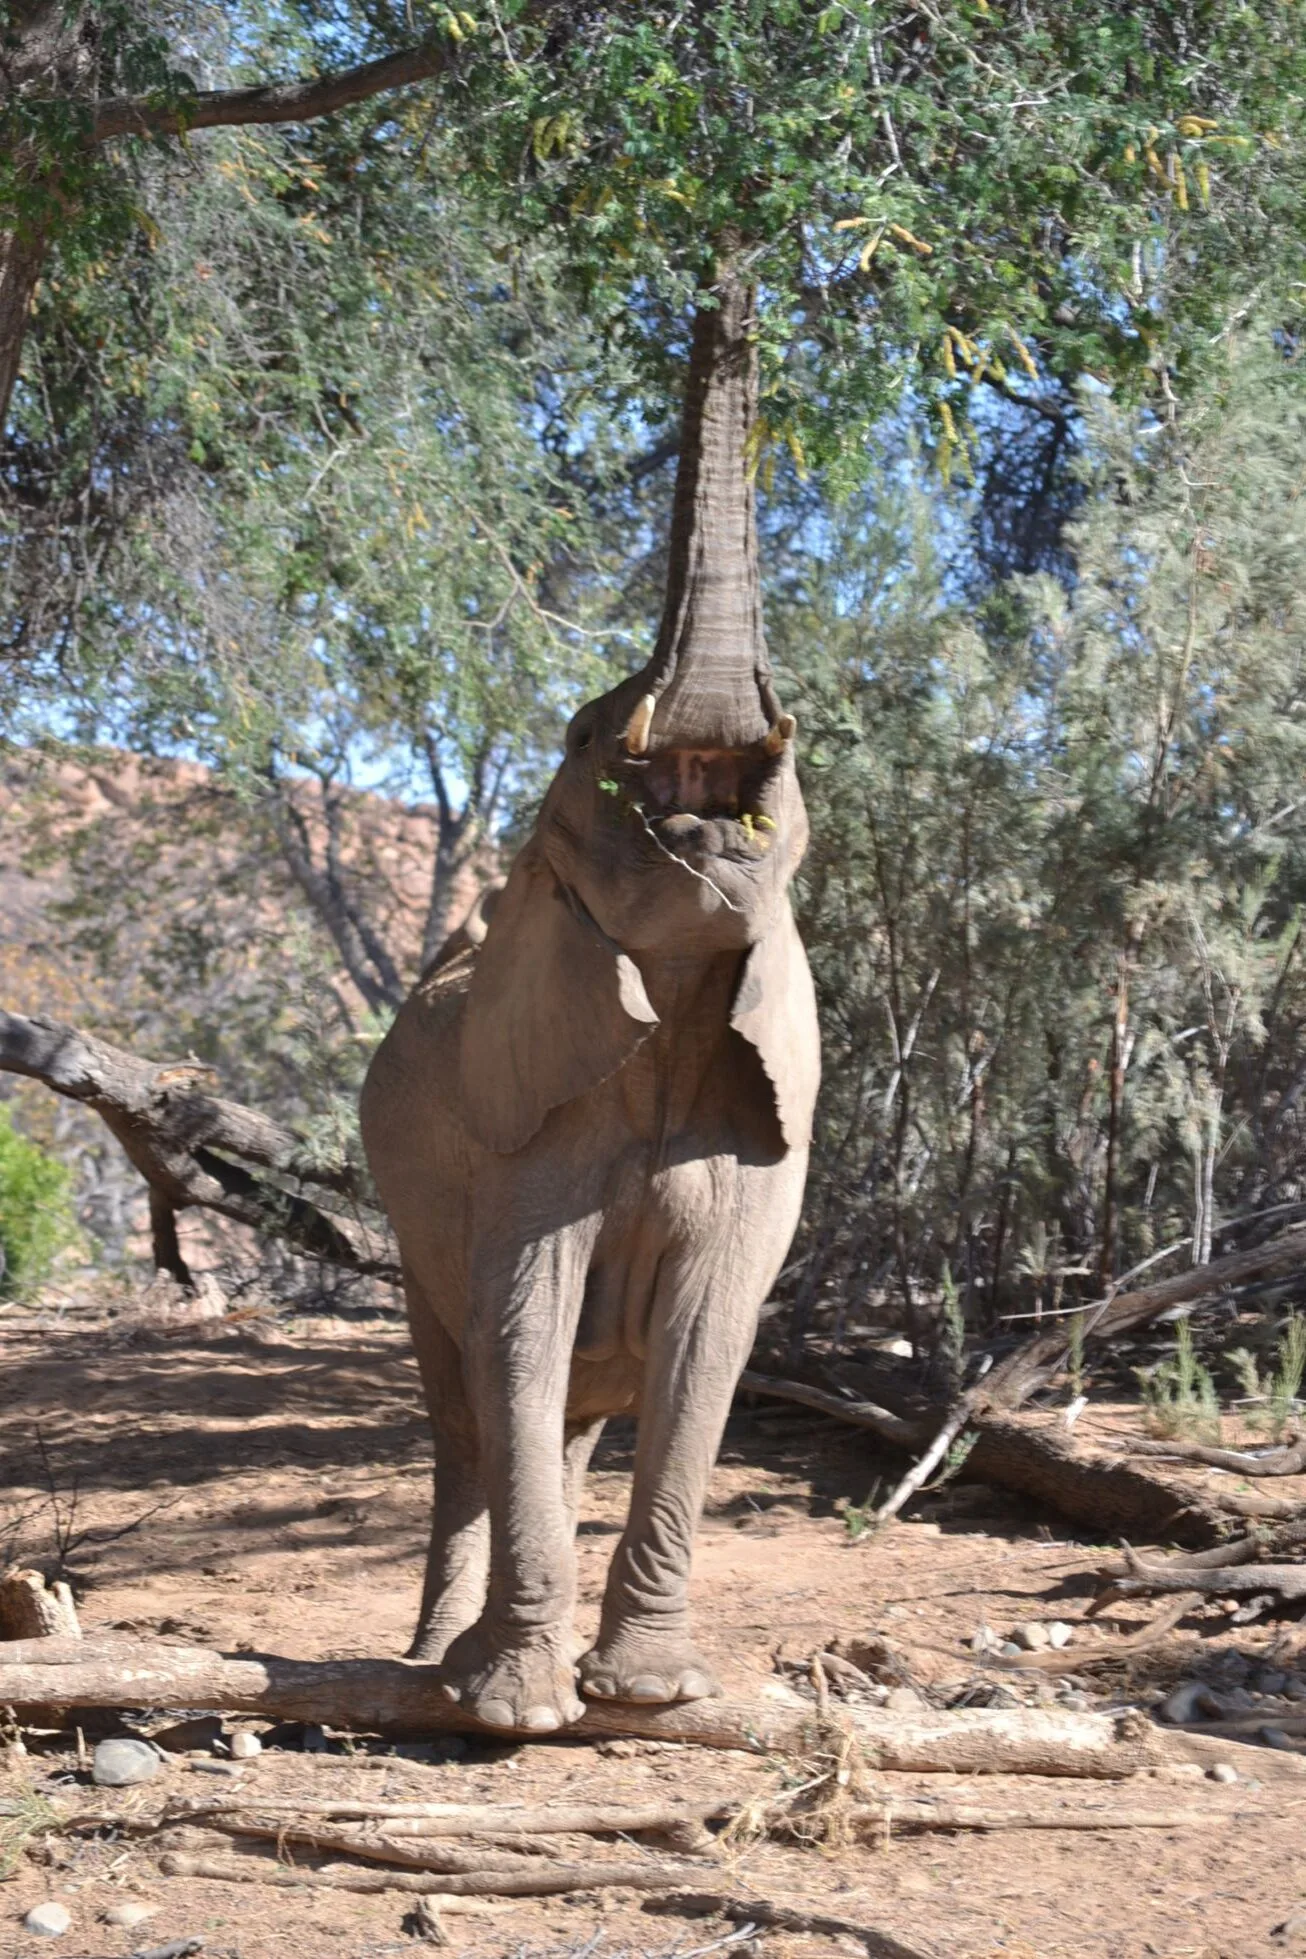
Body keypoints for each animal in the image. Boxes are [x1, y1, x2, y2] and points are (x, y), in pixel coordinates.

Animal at [360, 267, 820, 1735]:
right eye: (579, 736)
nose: (730, 263)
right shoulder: (515, 1133)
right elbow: (523, 1322)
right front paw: (515, 1713)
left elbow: (707, 1341)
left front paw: (651, 1694)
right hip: (411, 1236)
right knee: (468, 1410)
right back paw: (434, 1667)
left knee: (560, 1419)